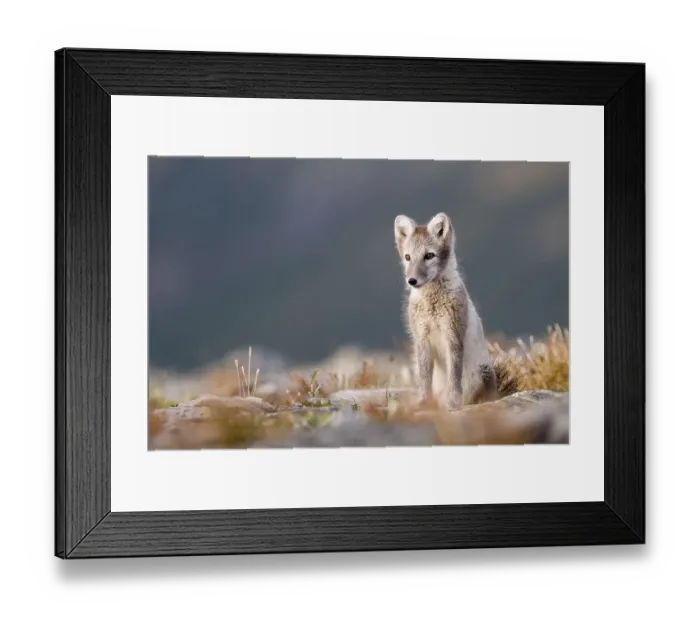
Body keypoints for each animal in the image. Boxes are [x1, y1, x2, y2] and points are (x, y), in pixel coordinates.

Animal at [394, 212, 516, 411]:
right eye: (407, 257)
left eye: (429, 255)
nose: (411, 281)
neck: (432, 304)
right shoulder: (421, 339)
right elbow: (424, 379)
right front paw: (423, 404)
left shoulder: (453, 336)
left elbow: (454, 378)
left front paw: (452, 405)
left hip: (483, 373)